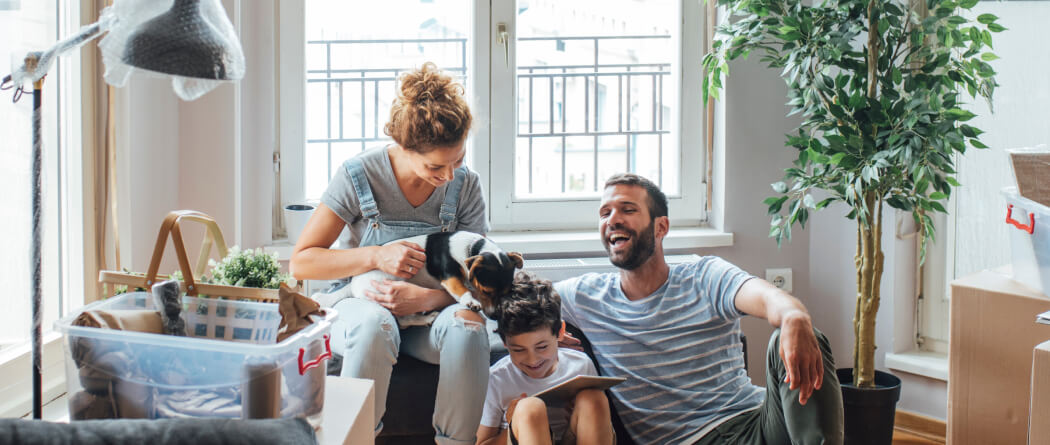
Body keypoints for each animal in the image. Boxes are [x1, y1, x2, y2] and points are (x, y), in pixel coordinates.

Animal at [346, 232, 522, 327]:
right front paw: (471, 301)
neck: (471, 247)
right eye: (486, 291)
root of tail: (353, 284)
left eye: (507, 292)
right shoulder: (450, 277)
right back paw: (426, 318)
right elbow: (462, 289)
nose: (495, 317)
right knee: (403, 321)